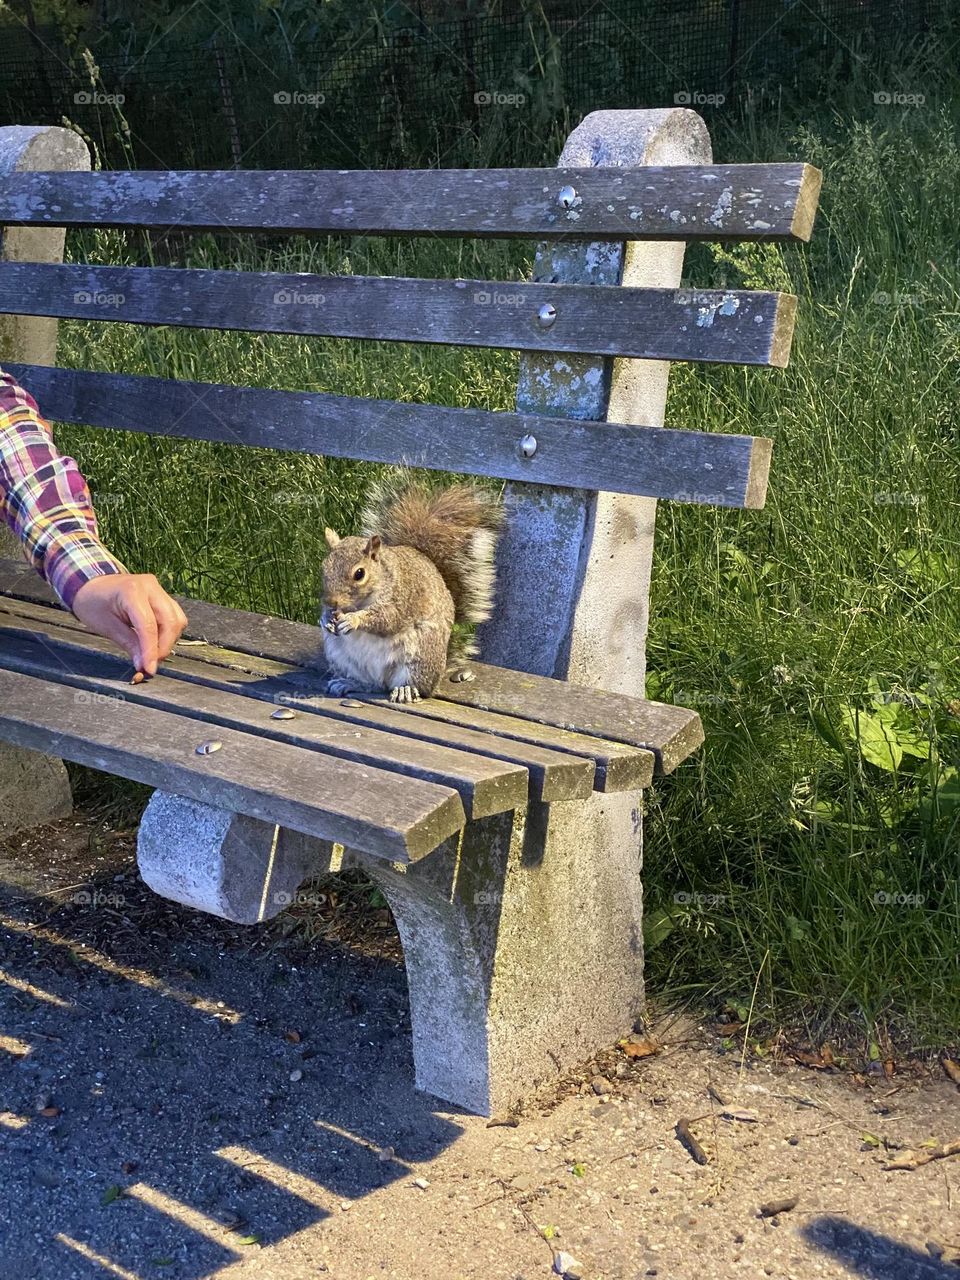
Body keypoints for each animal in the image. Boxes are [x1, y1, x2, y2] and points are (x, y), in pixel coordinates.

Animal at [320, 474, 502, 703]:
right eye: (323, 566)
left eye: (359, 574)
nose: (331, 602)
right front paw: (325, 618)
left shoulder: (404, 597)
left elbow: (387, 619)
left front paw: (353, 620)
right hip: (342, 657)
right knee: (372, 684)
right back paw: (350, 683)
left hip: (419, 655)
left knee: (414, 686)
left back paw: (405, 690)